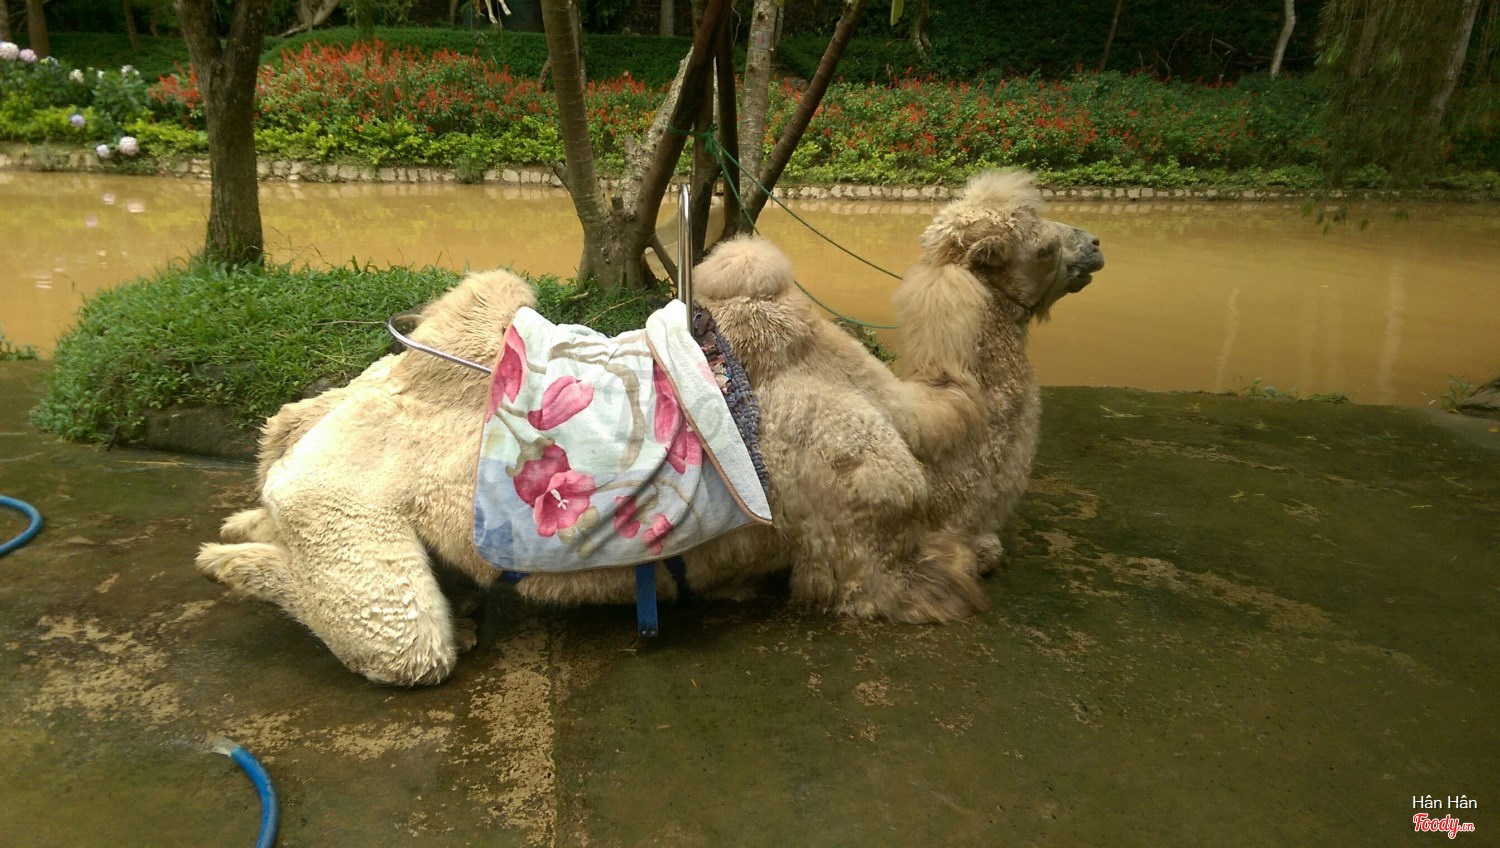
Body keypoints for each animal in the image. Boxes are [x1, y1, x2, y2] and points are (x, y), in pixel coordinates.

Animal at [195, 169, 1103, 685]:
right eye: (1033, 241)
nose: (1094, 243)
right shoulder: (863, 536)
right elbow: (932, 581)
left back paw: (239, 526)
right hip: (347, 515)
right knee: (405, 645)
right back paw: (224, 560)